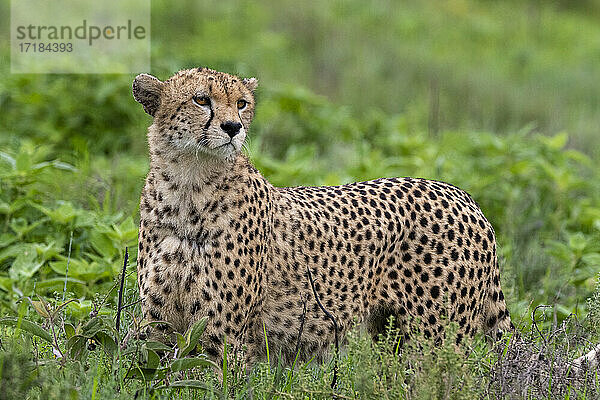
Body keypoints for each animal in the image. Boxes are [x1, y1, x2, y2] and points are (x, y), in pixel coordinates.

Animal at [132, 68, 600, 368]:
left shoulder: (223, 334)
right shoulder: (156, 326)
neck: (189, 186)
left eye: (242, 104)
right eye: (202, 99)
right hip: (392, 332)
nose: (232, 127)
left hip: (436, 340)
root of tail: (463, 195)